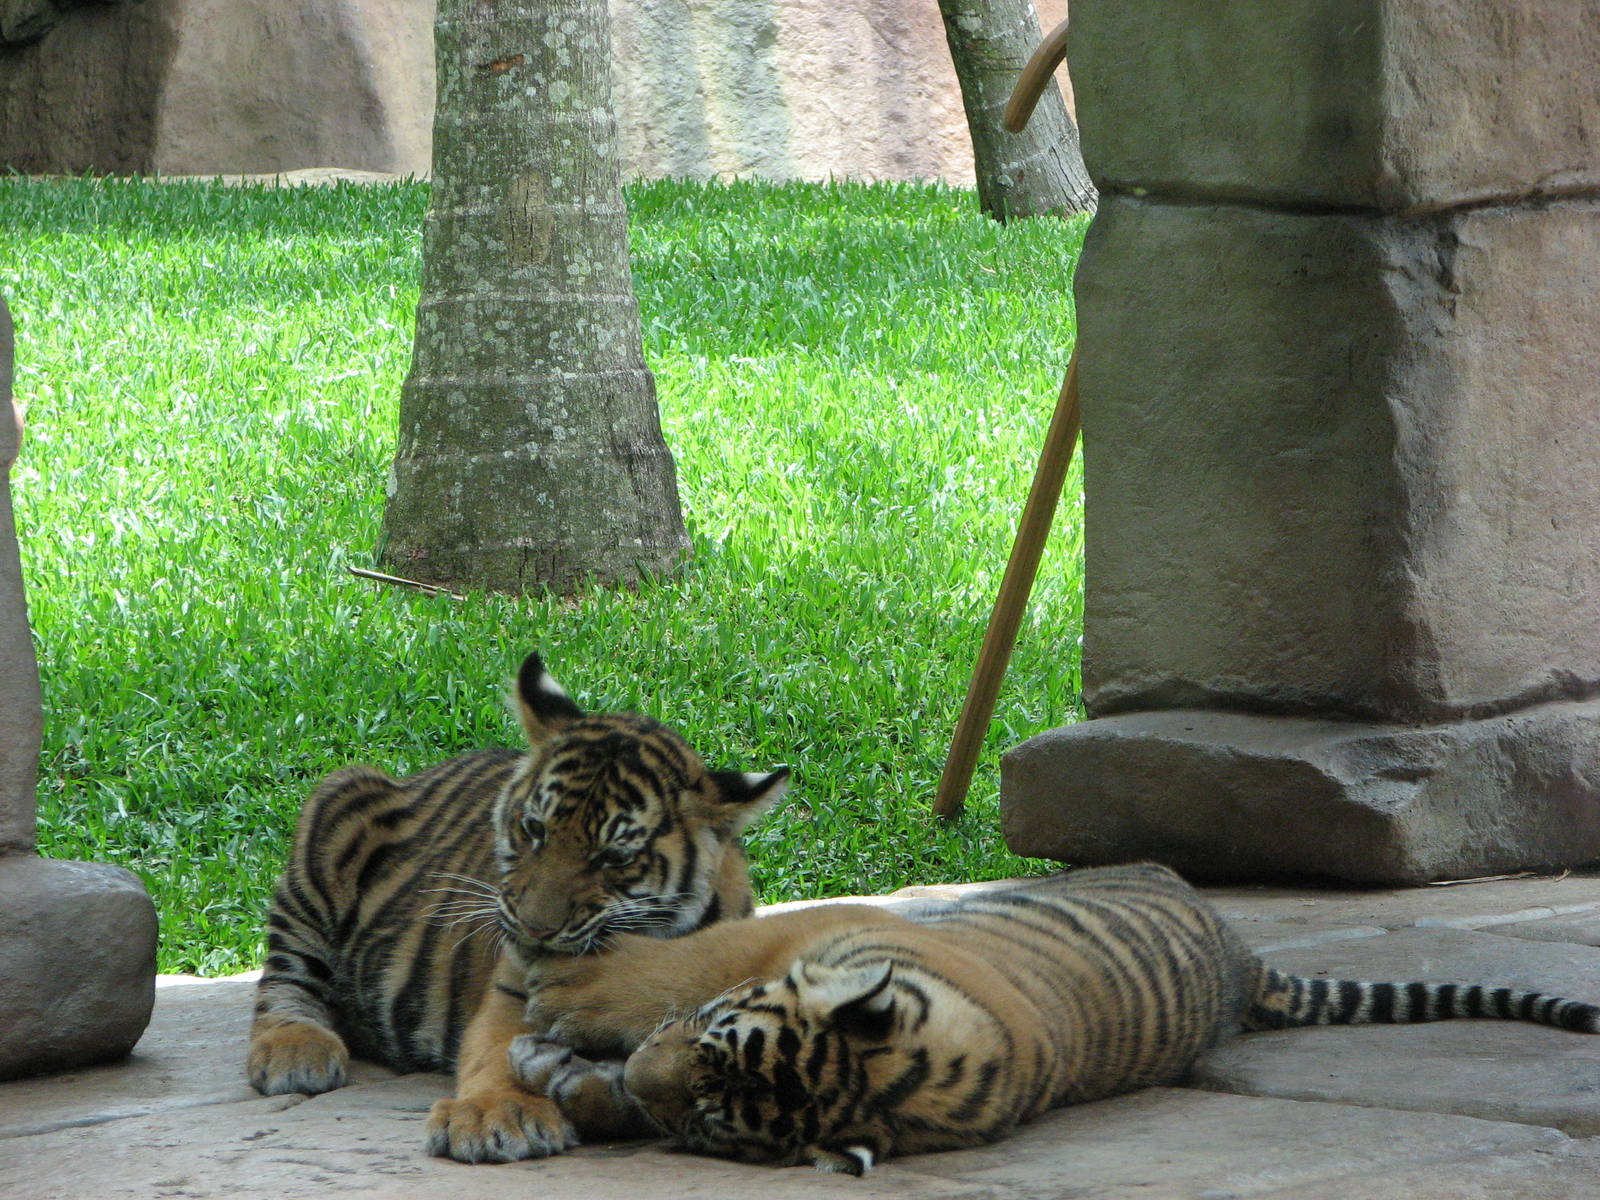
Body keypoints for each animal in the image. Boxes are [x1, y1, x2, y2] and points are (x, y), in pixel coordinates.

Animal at [244, 650, 788, 1164]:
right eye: (534, 829)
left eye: (613, 858)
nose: (534, 929)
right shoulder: (512, 993)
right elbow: (497, 1054)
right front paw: (495, 1118)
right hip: (337, 804)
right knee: (287, 976)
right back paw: (296, 1052)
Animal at [503, 862, 1600, 1173]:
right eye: (707, 1047)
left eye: (710, 1125)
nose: (647, 1079)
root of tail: (1243, 962)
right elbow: (695, 966)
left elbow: (684, 963)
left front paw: (564, 1017)